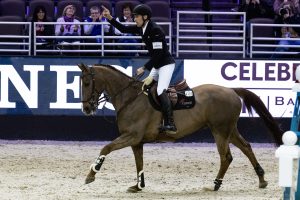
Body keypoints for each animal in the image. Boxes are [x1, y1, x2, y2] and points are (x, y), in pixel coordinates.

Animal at [78, 63, 284, 193]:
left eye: (87, 83)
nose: (86, 109)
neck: (130, 98)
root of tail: (231, 90)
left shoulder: (131, 136)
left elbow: (106, 148)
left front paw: (91, 175)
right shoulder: (137, 142)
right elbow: (139, 164)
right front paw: (138, 186)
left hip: (220, 131)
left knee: (226, 157)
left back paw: (216, 184)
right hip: (229, 130)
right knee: (247, 147)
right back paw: (262, 179)